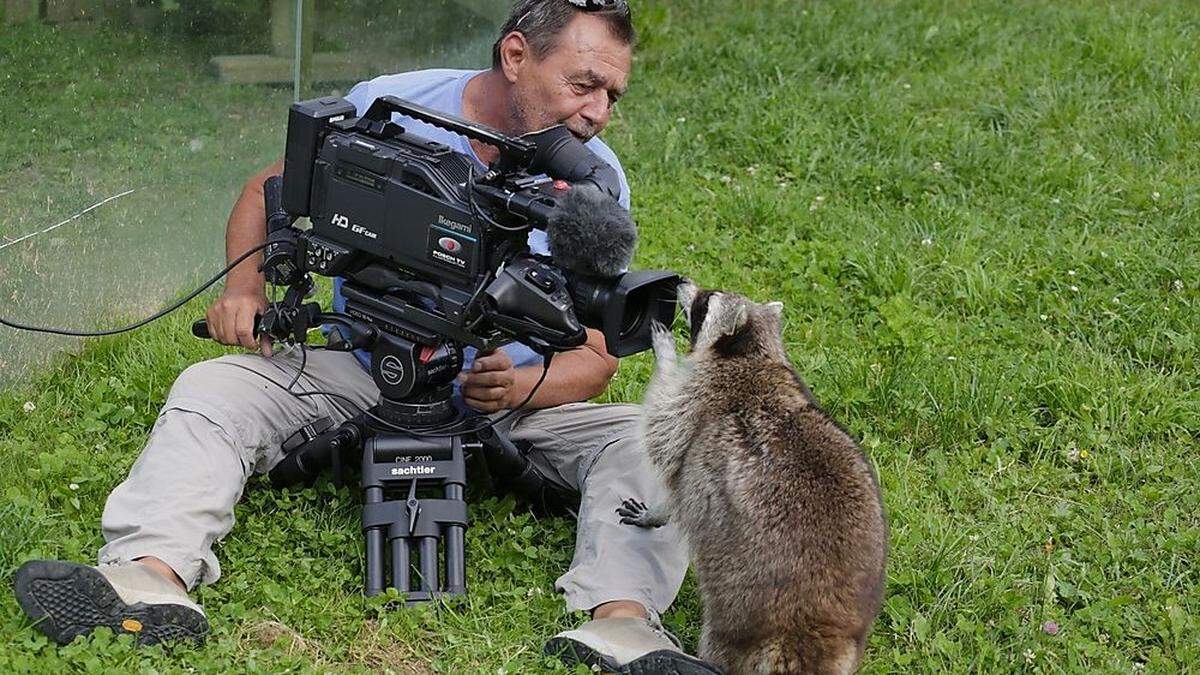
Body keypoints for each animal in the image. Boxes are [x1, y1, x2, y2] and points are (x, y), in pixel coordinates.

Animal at [624, 281, 888, 667]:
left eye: (707, 299)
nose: (683, 282)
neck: (755, 352)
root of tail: (819, 625)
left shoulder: (699, 398)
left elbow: (665, 434)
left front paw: (665, 352)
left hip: (740, 604)